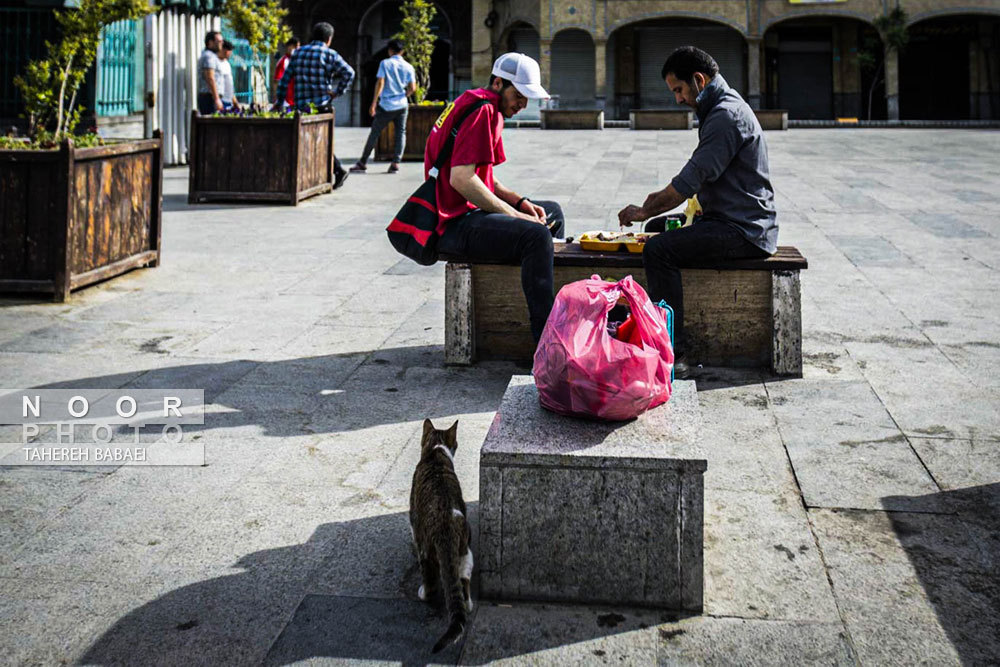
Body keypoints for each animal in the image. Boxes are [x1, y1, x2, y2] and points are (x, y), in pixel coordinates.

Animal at [414, 420, 476, 656]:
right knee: (463, 580)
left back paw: (423, 593)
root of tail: (445, 529)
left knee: (431, 583)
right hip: (466, 550)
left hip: (424, 547)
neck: (435, 451)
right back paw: (468, 605)